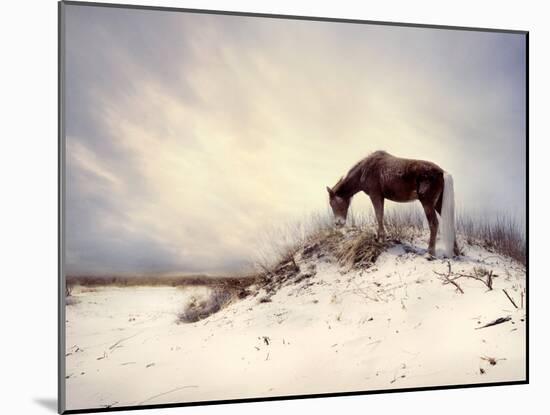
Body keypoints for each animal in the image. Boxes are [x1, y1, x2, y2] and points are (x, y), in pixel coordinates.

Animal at [328, 151, 462, 258]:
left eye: (332, 203)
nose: (338, 223)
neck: (365, 170)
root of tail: (442, 172)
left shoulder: (375, 195)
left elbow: (379, 216)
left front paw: (381, 239)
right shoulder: (380, 197)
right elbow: (381, 215)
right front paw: (380, 238)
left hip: (427, 203)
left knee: (434, 224)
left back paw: (430, 254)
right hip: (438, 203)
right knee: (449, 222)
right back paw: (456, 252)